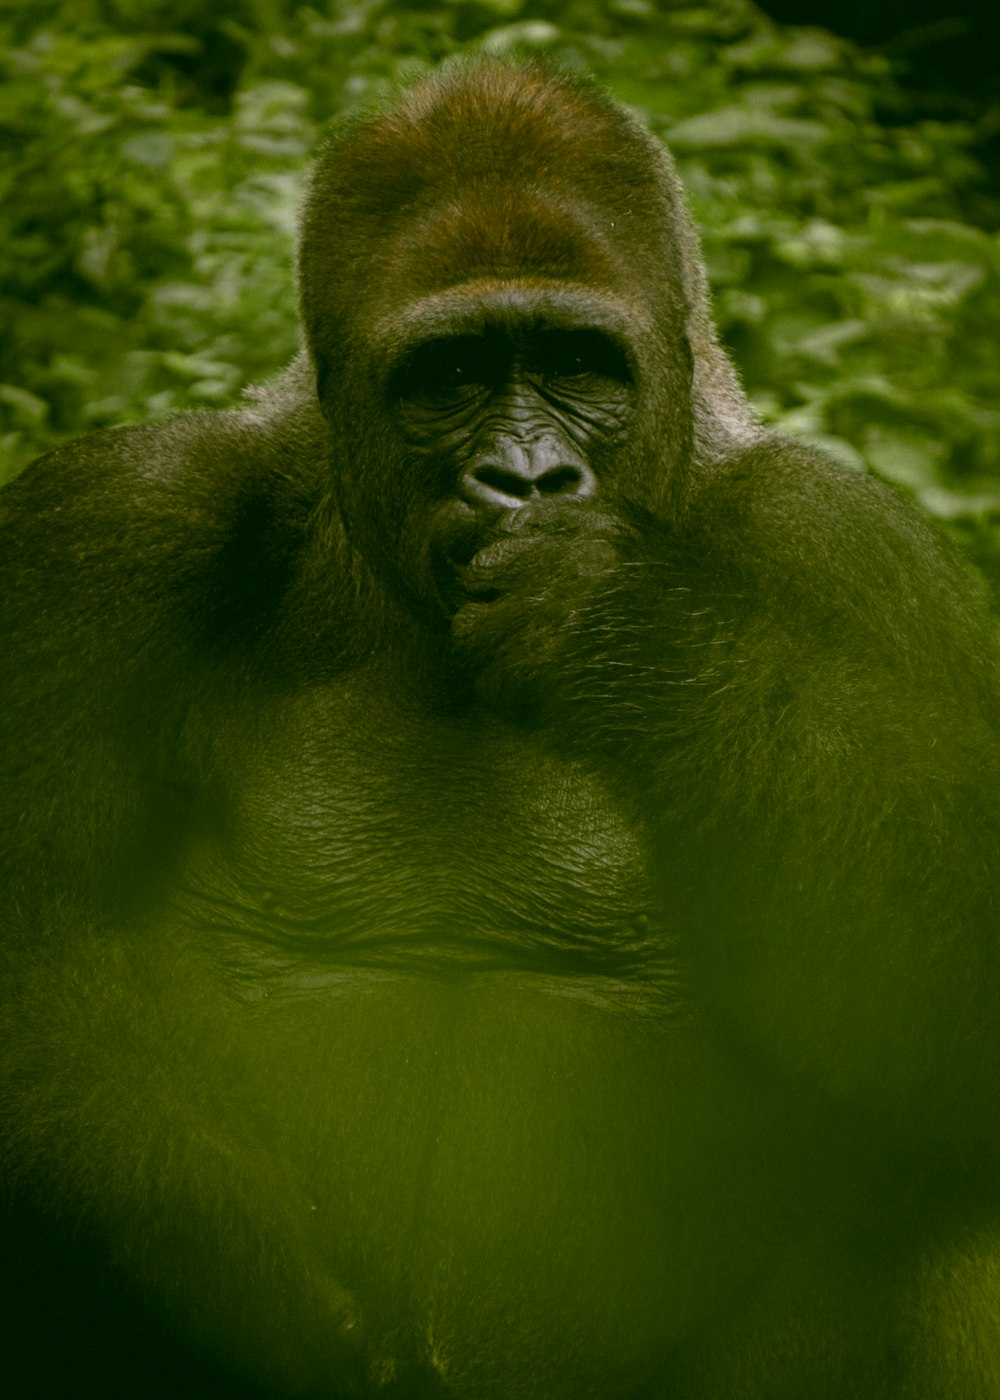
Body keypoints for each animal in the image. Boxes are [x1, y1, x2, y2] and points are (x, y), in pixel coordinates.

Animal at [1, 57, 997, 1400]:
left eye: (580, 361)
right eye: (450, 377)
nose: (525, 481)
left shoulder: (855, 552)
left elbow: (960, 962)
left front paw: (629, 632)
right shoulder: (107, 532)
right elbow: (34, 952)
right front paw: (222, 1260)